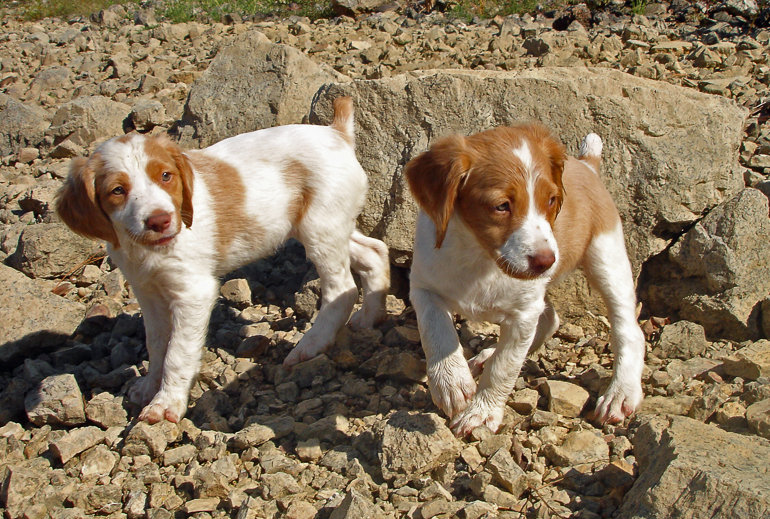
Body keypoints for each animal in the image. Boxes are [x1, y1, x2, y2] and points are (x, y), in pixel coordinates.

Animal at [56, 98, 388, 426]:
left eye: (165, 176)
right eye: (117, 190)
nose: (160, 221)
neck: (148, 251)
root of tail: (336, 131)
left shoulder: (193, 292)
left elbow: (177, 352)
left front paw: (165, 404)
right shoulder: (147, 293)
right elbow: (157, 344)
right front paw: (149, 388)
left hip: (319, 228)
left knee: (342, 289)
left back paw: (311, 345)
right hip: (327, 225)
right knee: (374, 251)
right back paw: (370, 318)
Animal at [404, 124, 644, 436]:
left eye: (552, 201)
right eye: (501, 206)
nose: (546, 261)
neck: (480, 258)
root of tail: (586, 165)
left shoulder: (523, 312)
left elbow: (504, 367)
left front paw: (482, 412)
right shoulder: (423, 287)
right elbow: (436, 332)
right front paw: (451, 382)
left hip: (607, 258)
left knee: (628, 329)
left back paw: (621, 393)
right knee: (550, 319)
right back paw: (486, 355)